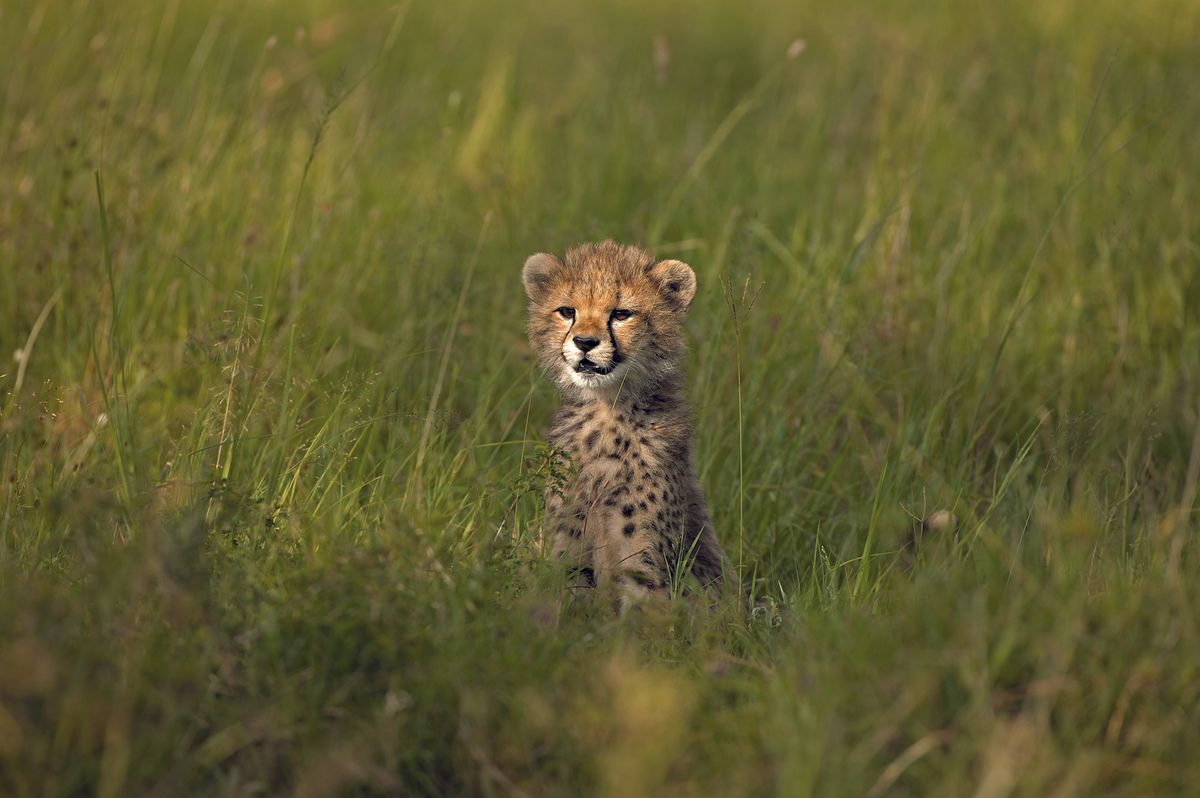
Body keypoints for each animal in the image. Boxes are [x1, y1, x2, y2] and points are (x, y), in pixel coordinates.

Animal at [522, 240, 725, 611]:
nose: (585, 342)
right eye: (567, 311)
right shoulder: (567, 549)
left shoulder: (641, 566)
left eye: (621, 314)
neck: (607, 412)